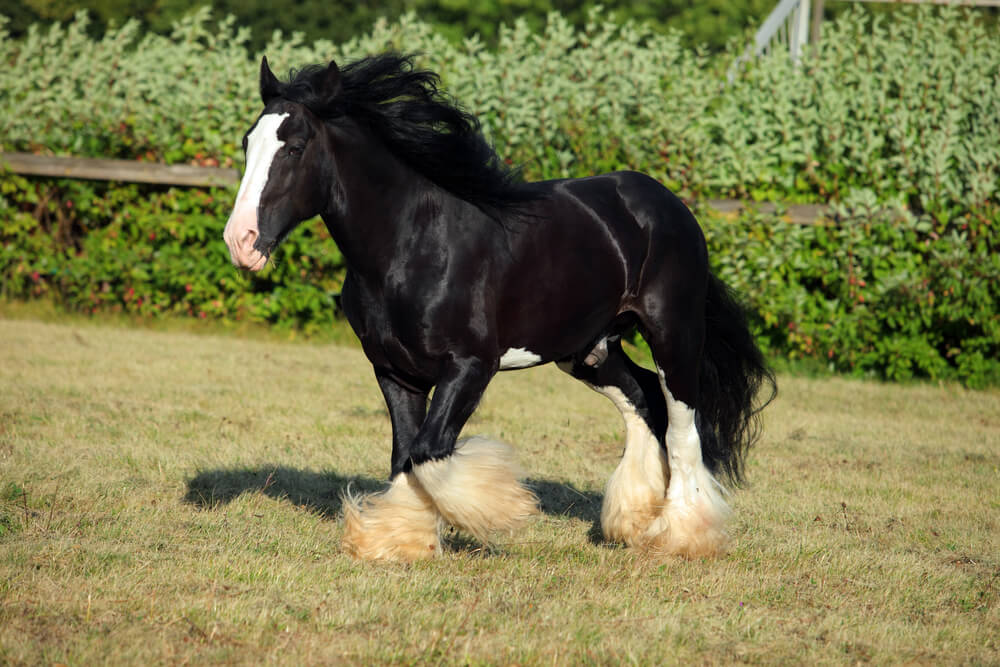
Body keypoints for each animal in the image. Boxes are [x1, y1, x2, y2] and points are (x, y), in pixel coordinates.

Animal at [223, 54, 776, 560]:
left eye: (295, 148)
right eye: (248, 142)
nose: (241, 241)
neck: (412, 245)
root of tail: (667, 203)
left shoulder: (470, 366)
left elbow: (428, 453)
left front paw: (502, 508)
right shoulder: (394, 372)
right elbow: (405, 454)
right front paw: (398, 541)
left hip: (673, 334)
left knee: (683, 428)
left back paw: (682, 536)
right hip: (589, 350)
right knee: (642, 399)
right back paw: (633, 523)